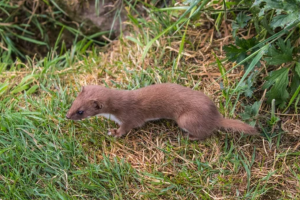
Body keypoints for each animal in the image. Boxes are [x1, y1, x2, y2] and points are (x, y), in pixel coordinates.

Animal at [65, 83, 258, 140]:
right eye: (73, 103)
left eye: (80, 111)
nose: (67, 116)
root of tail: (216, 116)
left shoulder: (130, 117)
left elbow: (126, 128)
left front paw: (114, 132)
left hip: (185, 119)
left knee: (206, 133)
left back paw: (189, 137)